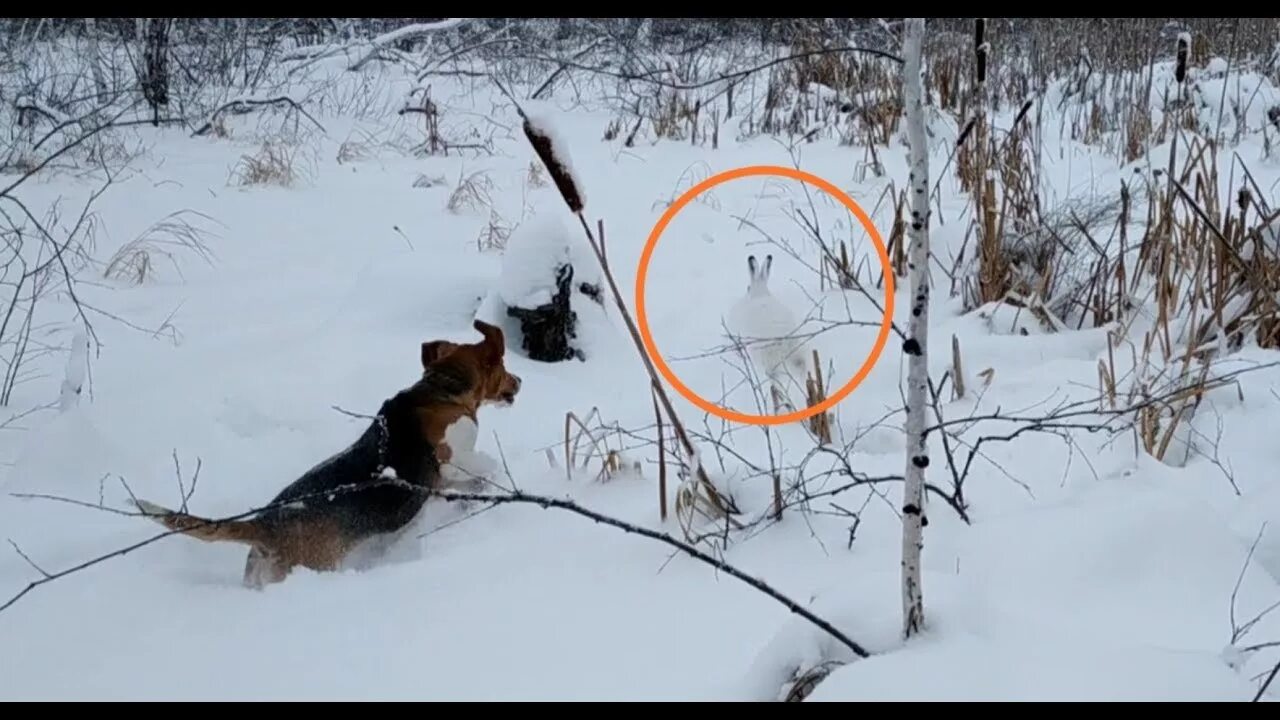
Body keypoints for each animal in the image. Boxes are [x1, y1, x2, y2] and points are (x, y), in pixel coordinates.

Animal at [133, 320, 519, 589]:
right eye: (503, 368)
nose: (519, 381)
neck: (440, 389)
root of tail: (266, 526)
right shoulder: (452, 461)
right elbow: (483, 466)